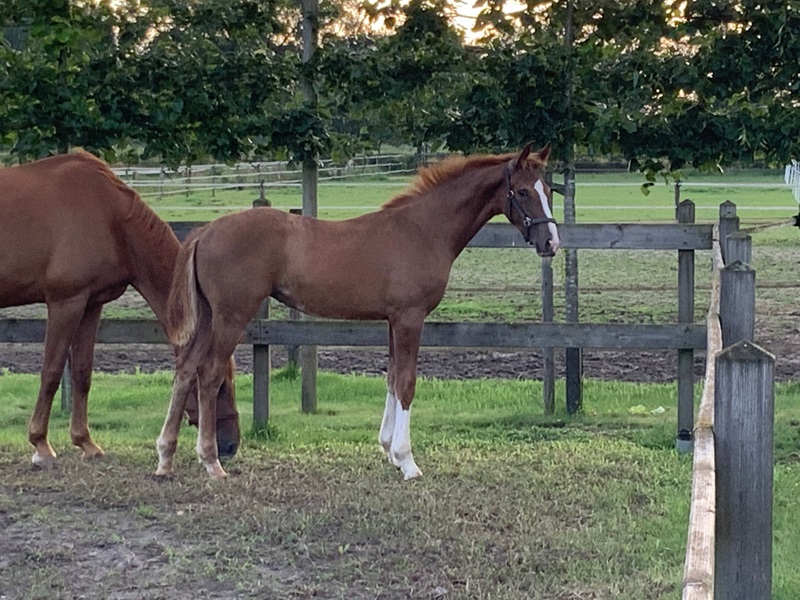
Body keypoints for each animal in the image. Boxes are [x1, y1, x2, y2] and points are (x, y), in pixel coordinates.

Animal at [0, 151, 240, 466]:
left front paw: (85, 442)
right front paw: (41, 445)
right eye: (220, 384)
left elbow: (82, 372)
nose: (231, 446)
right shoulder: (65, 303)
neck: (110, 217)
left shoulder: (91, 304)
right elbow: (51, 372)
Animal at [157, 143, 559, 480]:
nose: (551, 242)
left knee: (186, 369)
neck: (421, 230)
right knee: (209, 374)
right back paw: (212, 462)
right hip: (231, 317)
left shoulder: (394, 321)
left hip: (209, 318)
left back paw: (165, 458)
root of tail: (206, 231)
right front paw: (408, 462)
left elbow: (392, 379)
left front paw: (389, 450)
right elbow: (407, 382)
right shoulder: (410, 318)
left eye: (548, 190)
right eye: (524, 192)